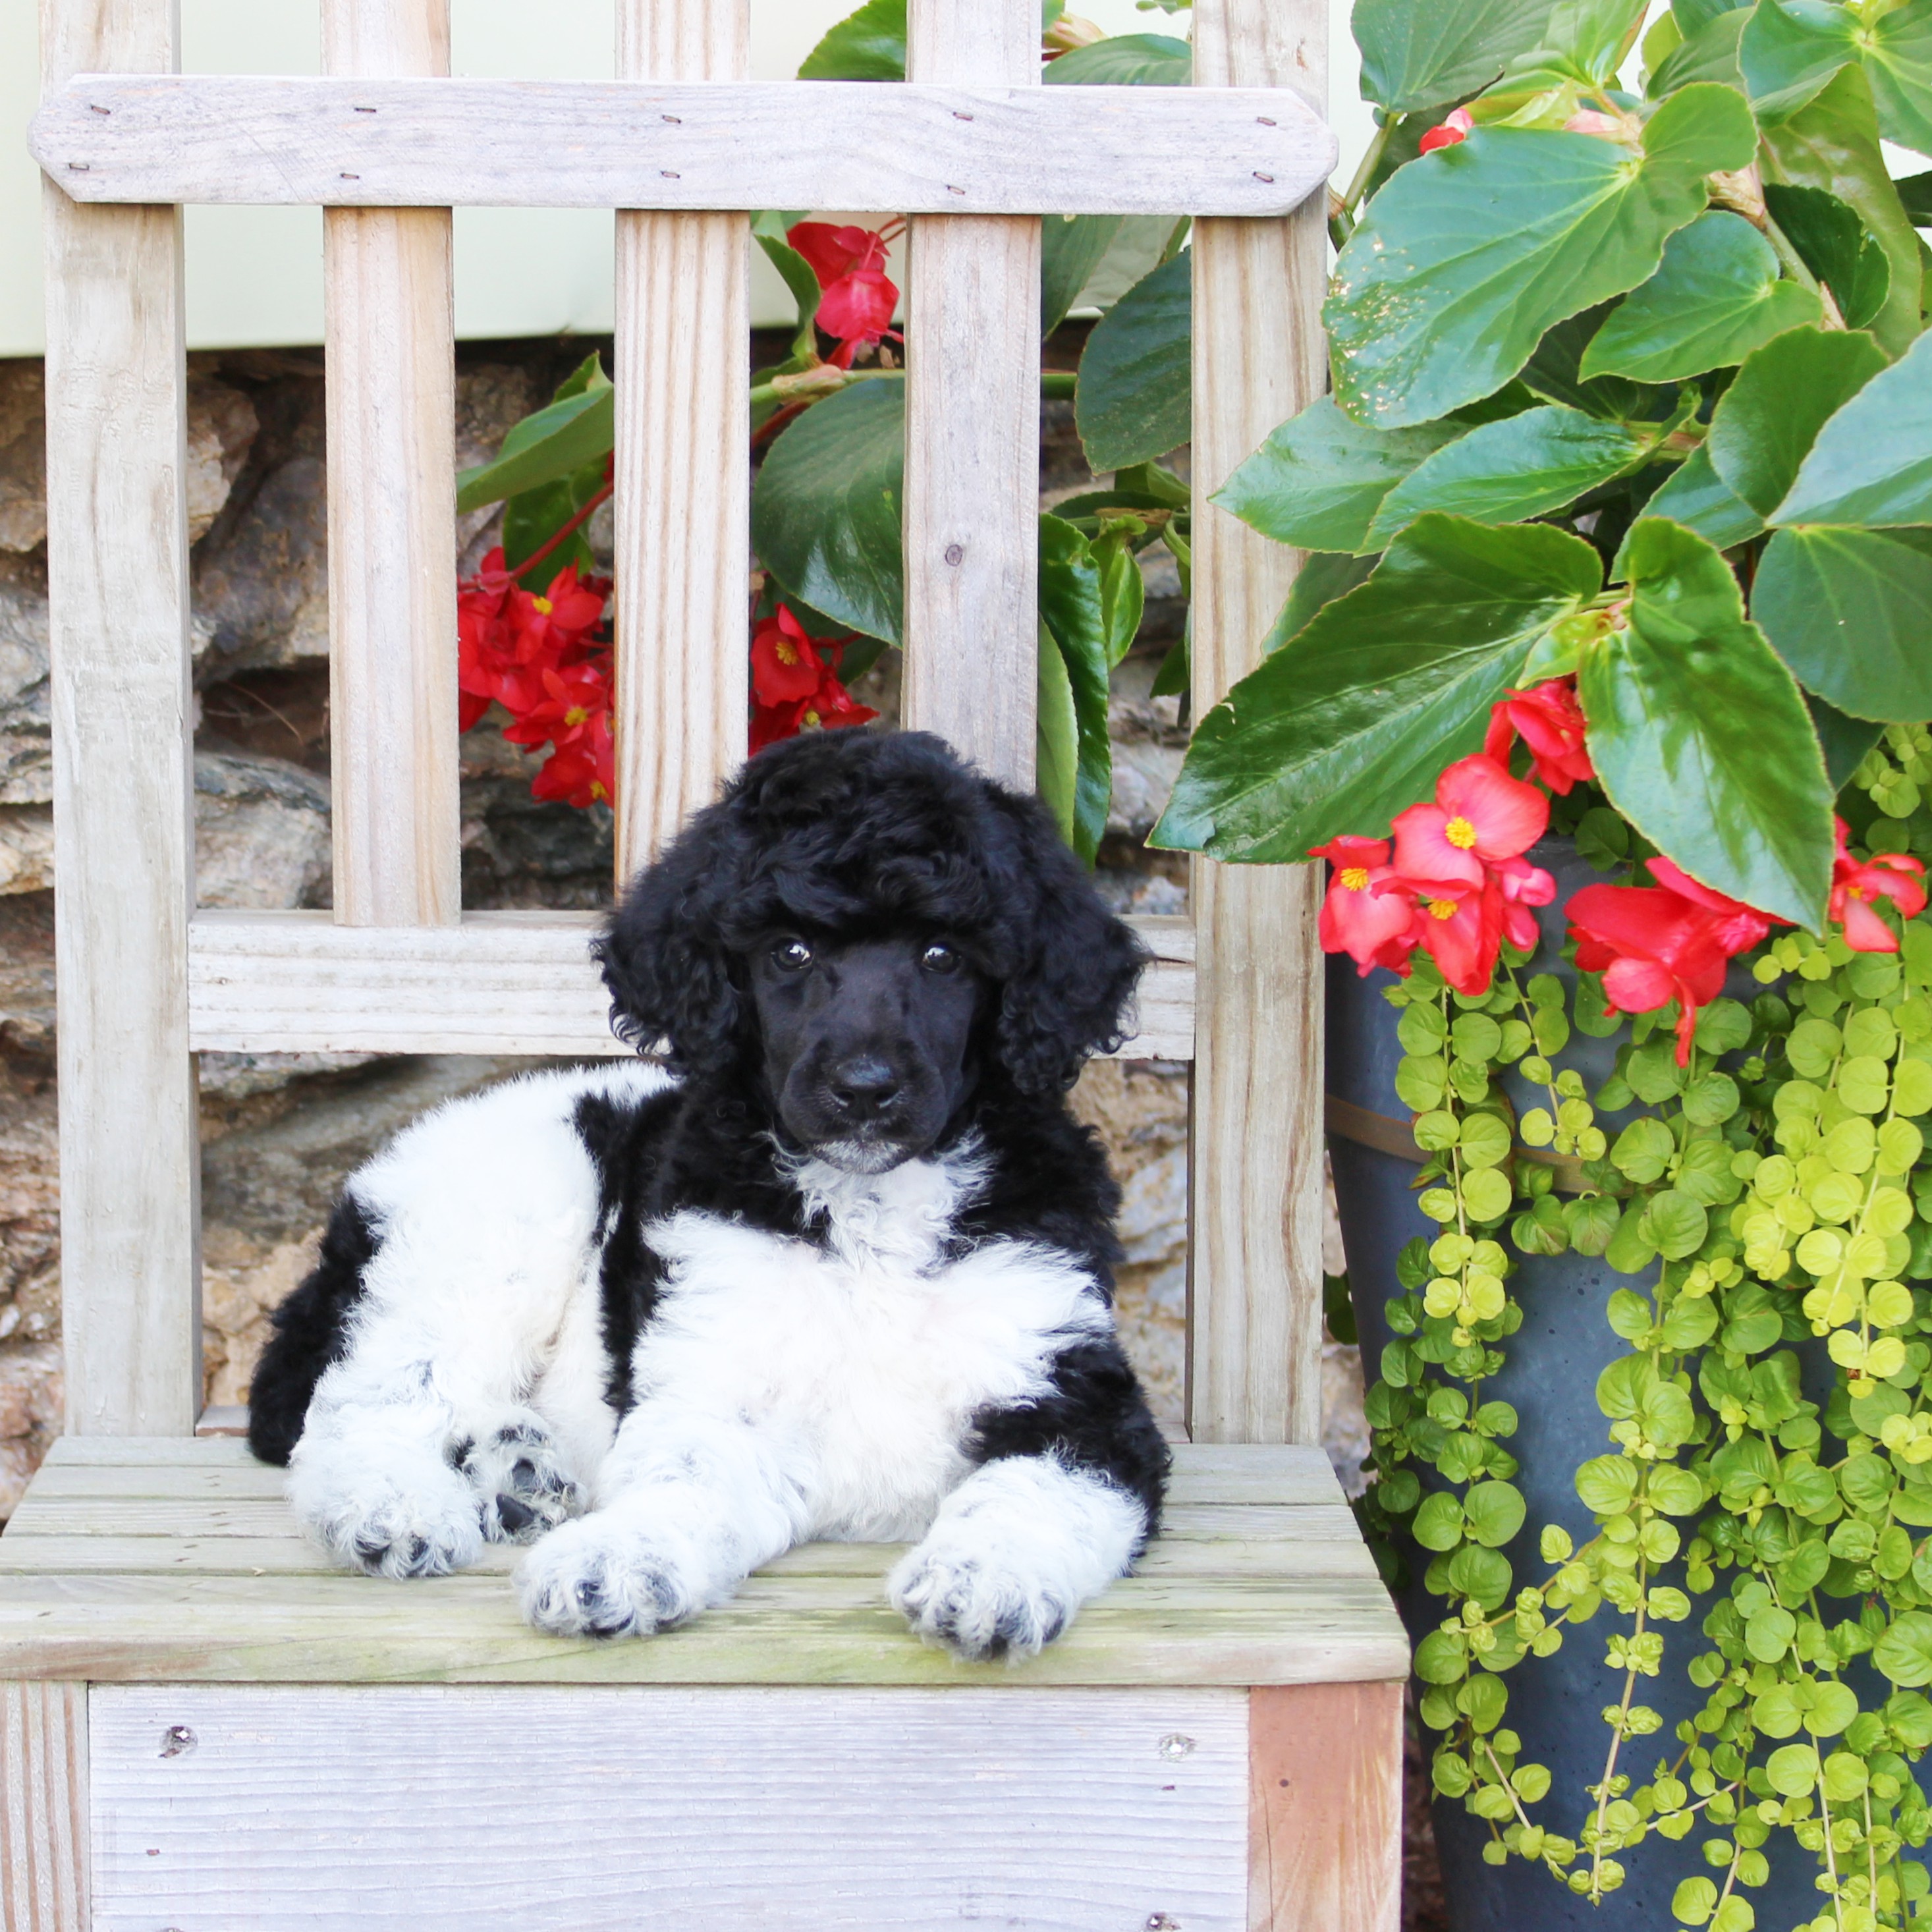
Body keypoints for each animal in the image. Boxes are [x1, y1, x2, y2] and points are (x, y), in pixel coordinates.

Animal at [249, 726, 1167, 1661]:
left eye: (943, 956)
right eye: (789, 953)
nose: (864, 1088)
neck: (868, 1211)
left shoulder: (1074, 1390)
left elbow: (1039, 1488)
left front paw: (986, 1578)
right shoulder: (714, 1384)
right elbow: (678, 1479)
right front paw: (614, 1559)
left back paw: (515, 1466)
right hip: (495, 1218)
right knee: (370, 1400)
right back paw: (395, 1506)